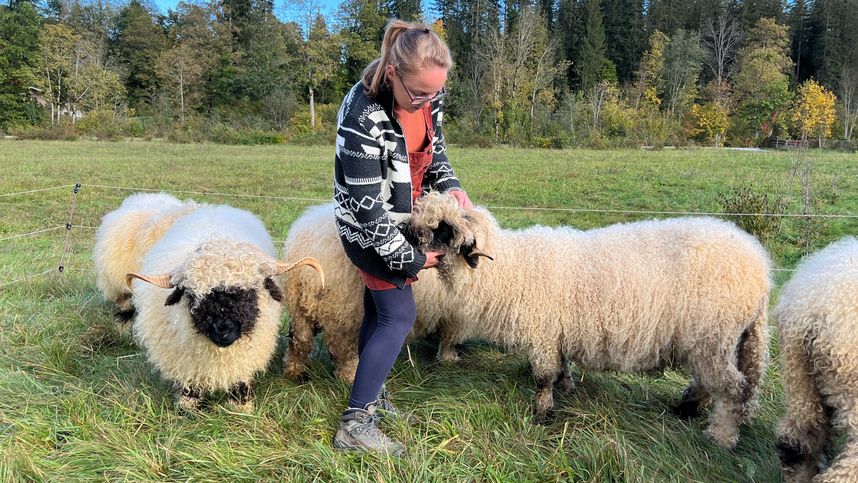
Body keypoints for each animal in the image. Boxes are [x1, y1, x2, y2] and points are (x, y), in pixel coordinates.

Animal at [122, 204, 320, 412]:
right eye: (193, 296)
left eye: (249, 294)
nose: (223, 331)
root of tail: (213, 208)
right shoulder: (184, 362)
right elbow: (189, 385)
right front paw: (189, 407)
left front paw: (240, 405)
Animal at [404, 193, 772, 450]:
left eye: (443, 228)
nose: (404, 232)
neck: (511, 270)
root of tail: (760, 268)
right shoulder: (557, 332)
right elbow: (561, 366)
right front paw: (567, 387)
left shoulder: (543, 331)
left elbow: (543, 376)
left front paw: (543, 413)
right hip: (708, 340)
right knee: (712, 382)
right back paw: (688, 407)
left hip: (714, 336)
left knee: (734, 389)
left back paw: (721, 436)